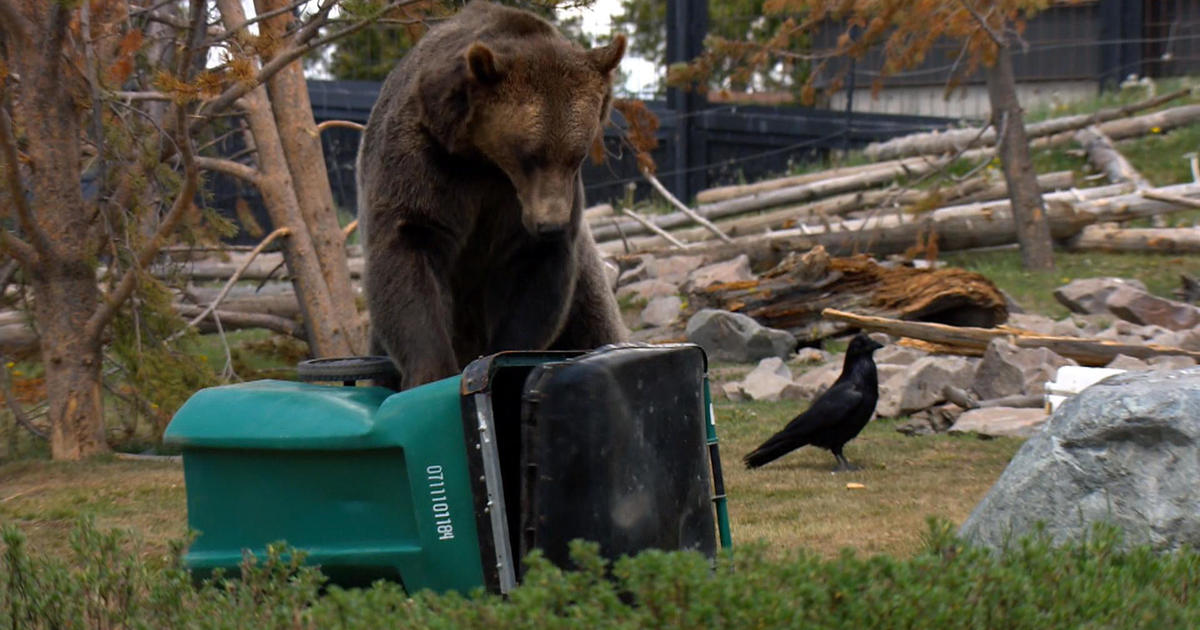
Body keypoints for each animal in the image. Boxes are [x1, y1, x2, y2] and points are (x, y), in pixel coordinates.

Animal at [352, 0, 628, 391]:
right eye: (530, 154)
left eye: (578, 155)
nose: (551, 225)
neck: (482, 158)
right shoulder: (425, 162)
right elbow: (410, 248)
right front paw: (431, 372)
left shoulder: (515, 206)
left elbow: (531, 279)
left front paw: (500, 358)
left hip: (587, 287)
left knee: (596, 324)